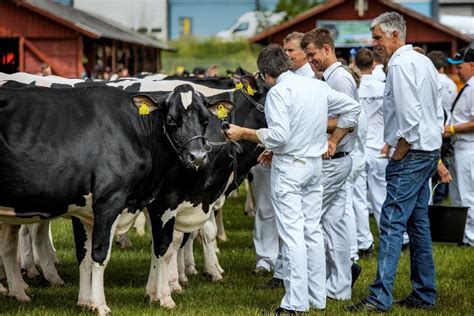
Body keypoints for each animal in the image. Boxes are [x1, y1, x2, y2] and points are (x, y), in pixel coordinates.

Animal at [0, 82, 218, 314]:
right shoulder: (109, 201)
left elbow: (85, 256)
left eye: (205, 120)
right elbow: (100, 255)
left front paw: (85, 302)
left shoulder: (84, 211)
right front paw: (101, 305)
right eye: (170, 119)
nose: (198, 157)